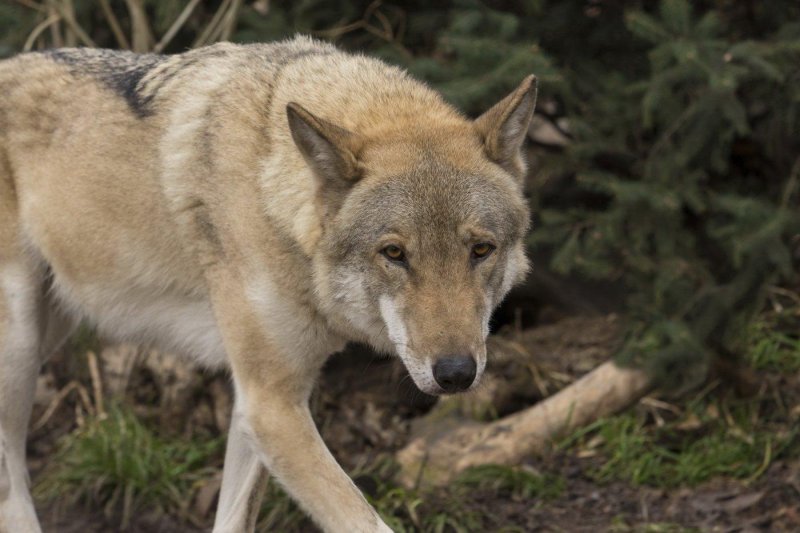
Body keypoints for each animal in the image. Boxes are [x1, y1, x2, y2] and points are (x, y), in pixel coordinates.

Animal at [1, 35, 536, 528]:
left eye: (480, 250)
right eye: (394, 254)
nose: (456, 374)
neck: (270, 191)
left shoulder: (258, 403)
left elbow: (234, 518)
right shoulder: (270, 403)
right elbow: (364, 519)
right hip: (18, 355)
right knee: (12, 487)